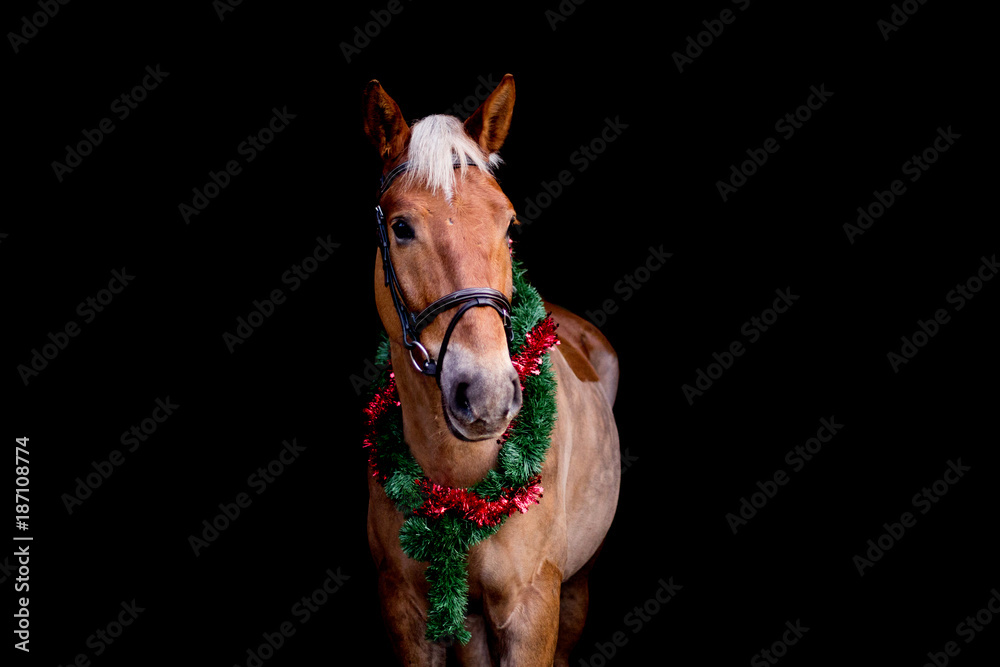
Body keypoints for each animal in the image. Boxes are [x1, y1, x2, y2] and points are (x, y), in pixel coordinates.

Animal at [362, 74, 621, 666]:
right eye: (402, 227)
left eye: (509, 225)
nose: (485, 394)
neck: (459, 477)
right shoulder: (404, 610)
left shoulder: (533, 609)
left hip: (577, 588)